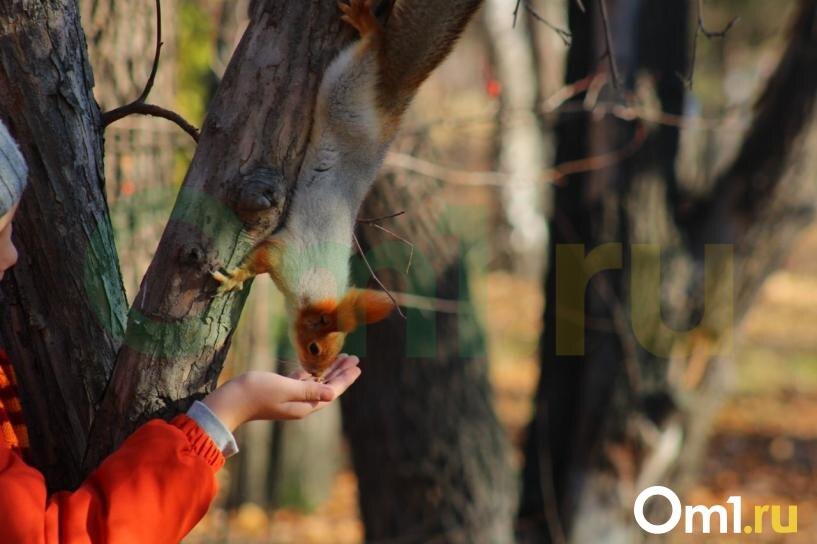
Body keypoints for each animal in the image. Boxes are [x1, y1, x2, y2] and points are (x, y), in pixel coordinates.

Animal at [210, 0, 482, 378]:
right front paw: (237, 277)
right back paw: (367, 25)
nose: (315, 375)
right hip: (346, 89)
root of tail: (390, 103)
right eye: (314, 347)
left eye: (332, 350)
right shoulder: (286, 254)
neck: (318, 288)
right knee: (374, 49)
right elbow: (259, 259)